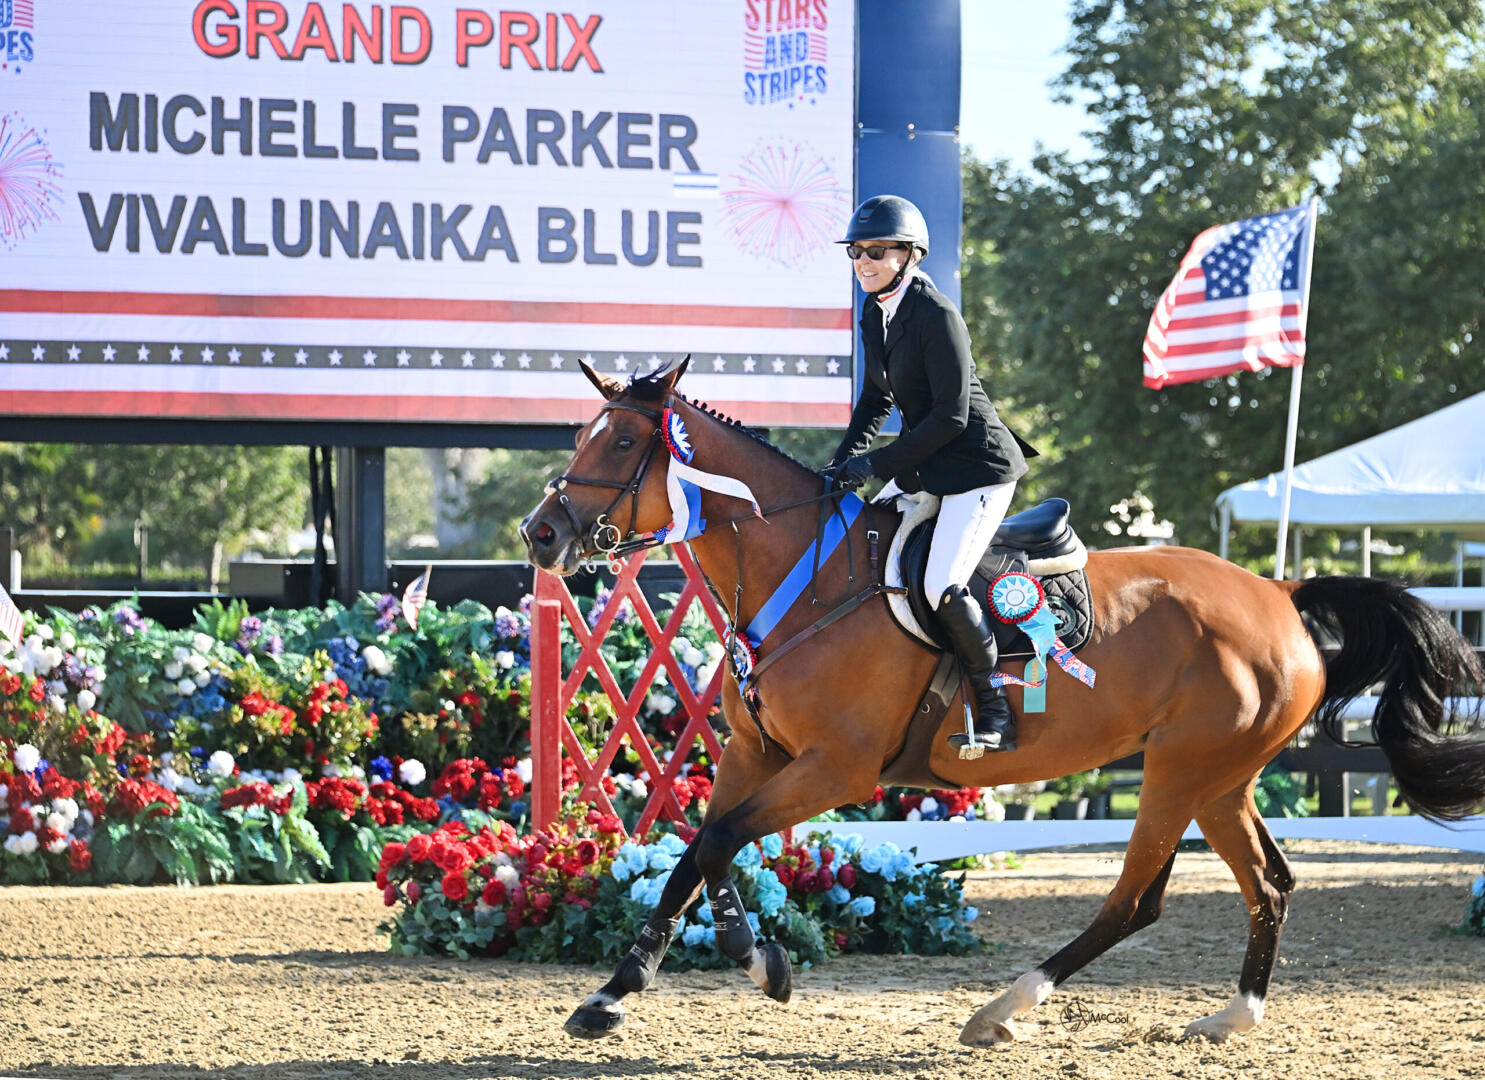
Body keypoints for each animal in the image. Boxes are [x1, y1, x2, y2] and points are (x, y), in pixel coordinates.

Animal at [519, 359, 1485, 1051]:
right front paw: (655, 981)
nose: (541, 534)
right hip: (1220, 780)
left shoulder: (836, 769)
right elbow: (698, 850)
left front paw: (724, 969)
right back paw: (1229, 1017)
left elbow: (716, 841)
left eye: (618, 446)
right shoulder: (756, 755)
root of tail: (1280, 593)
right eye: (582, 435)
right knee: (1269, 884)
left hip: (1179, 772)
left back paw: (1001, 1009)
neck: (804, 577)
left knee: (1134, 903)